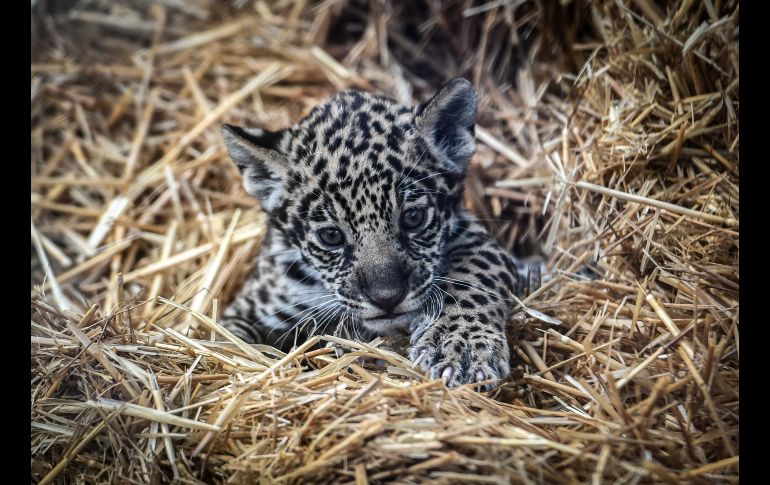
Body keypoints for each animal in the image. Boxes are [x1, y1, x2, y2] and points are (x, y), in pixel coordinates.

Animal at [219, 78, 533, 387]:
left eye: (413, 218)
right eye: (331, 236)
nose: (387, 298)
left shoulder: (477, 238)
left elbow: (473, 276)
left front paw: (460, 345)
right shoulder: (256, 301)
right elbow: (226, 341)